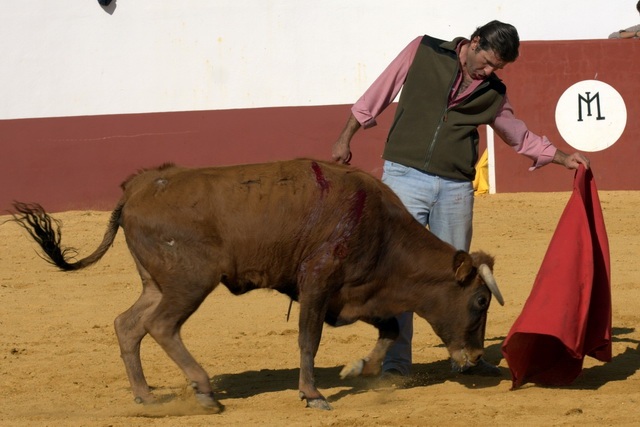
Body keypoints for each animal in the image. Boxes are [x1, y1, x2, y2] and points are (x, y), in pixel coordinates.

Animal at [7, 159, 502, 412]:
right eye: (480, 300)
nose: (476, 358)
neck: (380, 229)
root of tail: (138, 186)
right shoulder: (317, 284)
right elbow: (308, 340)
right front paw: (313, 394)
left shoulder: (356, 294)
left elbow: (391, 328)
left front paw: (356, 369)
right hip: (189, 282)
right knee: (161, 327)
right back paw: (203, 391)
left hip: (157, 282)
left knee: (128, 325)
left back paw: (146, 396)